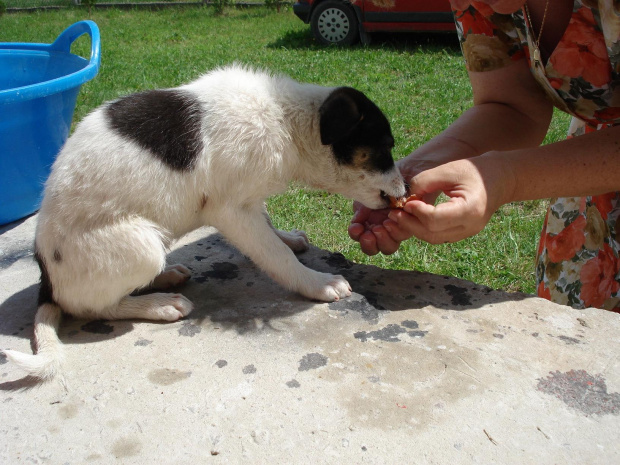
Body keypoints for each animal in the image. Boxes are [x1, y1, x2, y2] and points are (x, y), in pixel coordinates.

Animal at [3, 64, 406, 380]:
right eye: (384, 147)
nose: (405, 189)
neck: (286, 121)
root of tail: (47, 280)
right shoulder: (231, 210)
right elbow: (276, 257)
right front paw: (317, 283)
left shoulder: (249, 201)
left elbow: (269, 226)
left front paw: (287, 237)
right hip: (141, 245)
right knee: (91, 307)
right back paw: (159, 304)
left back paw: (166, 276)